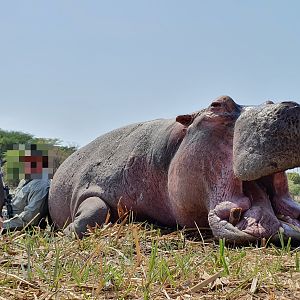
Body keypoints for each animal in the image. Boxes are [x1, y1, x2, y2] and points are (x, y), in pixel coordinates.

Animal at [48, 97, 300, 243]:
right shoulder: (95, 184)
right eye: (217, 104)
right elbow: (95, 208)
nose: (291, 106)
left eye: (270, 101)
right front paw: (65, 233)